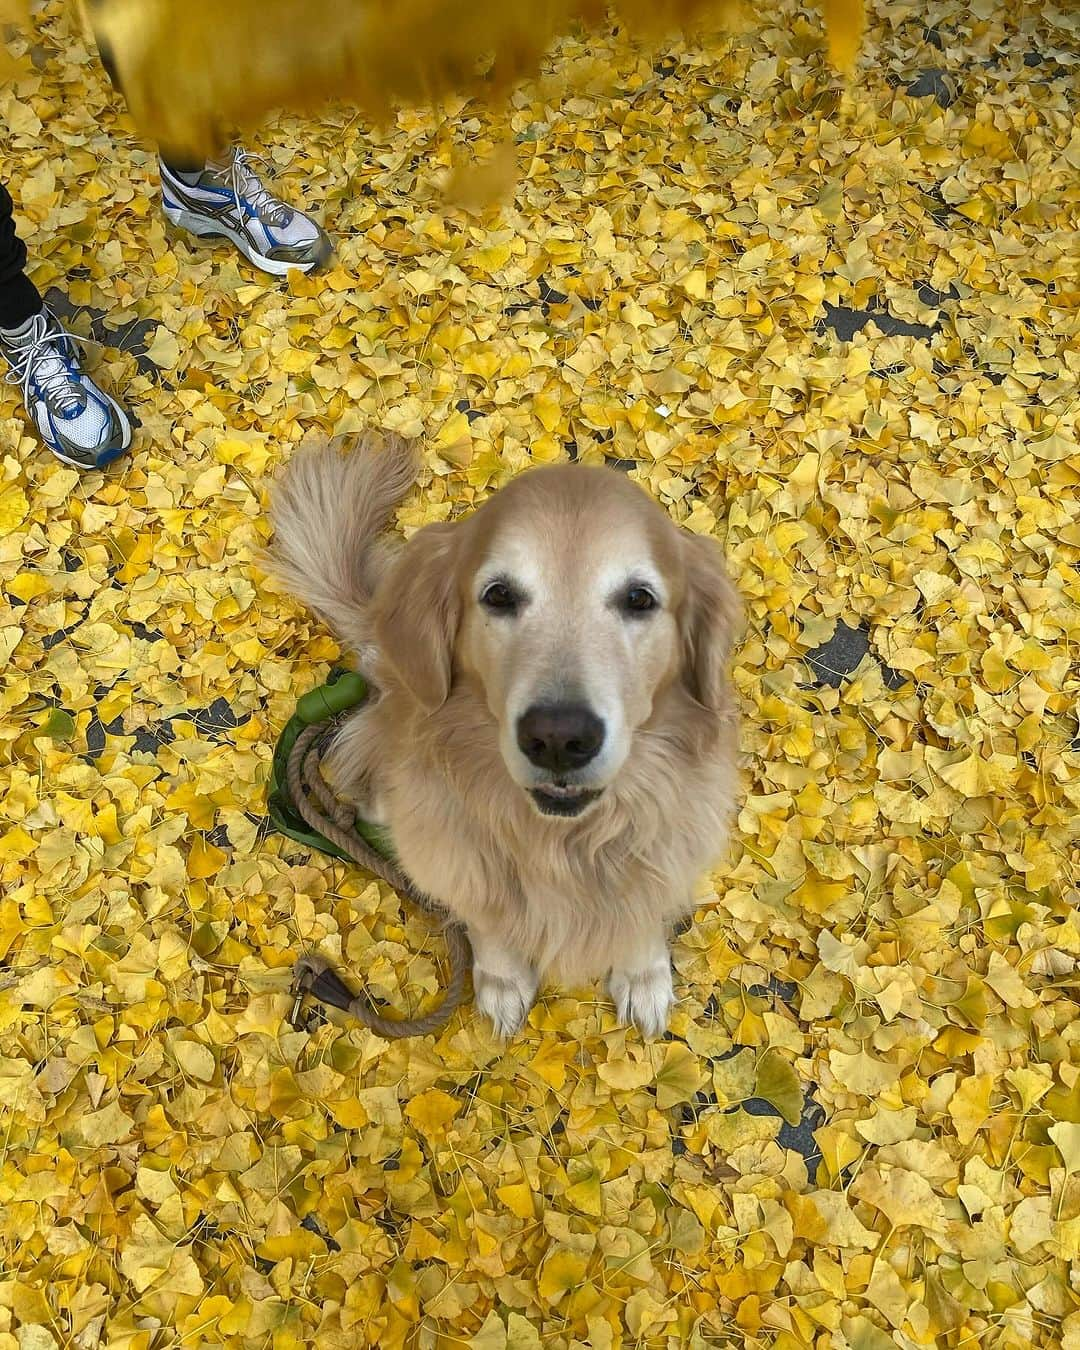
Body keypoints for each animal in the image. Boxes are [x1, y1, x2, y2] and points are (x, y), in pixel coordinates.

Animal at [270, 432, 745, 1031]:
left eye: (639, 599)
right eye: (498, 595)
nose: (559, 738)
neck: (561, 844)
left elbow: (640, 911)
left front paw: (643, 975)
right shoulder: (453, 858)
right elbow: (486, 918)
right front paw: (501, 979)